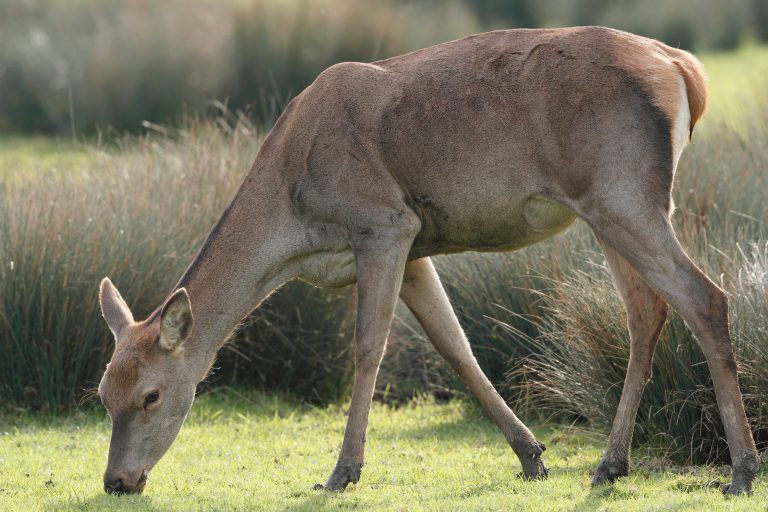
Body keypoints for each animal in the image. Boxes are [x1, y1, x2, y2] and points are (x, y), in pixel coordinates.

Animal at [94, 25, 756, 496]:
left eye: (151, 395)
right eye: (102, 394)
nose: (117, 481)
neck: (294, 225)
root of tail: (683, 69)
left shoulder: (384, 225)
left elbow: (369, 348)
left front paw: (342, 472)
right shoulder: (414, 249)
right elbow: (454, 346)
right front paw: (531, 455)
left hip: (625, 192)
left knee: (706, 298)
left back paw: (741, 470)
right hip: (608, 208)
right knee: (646, 315)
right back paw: (609, 465)